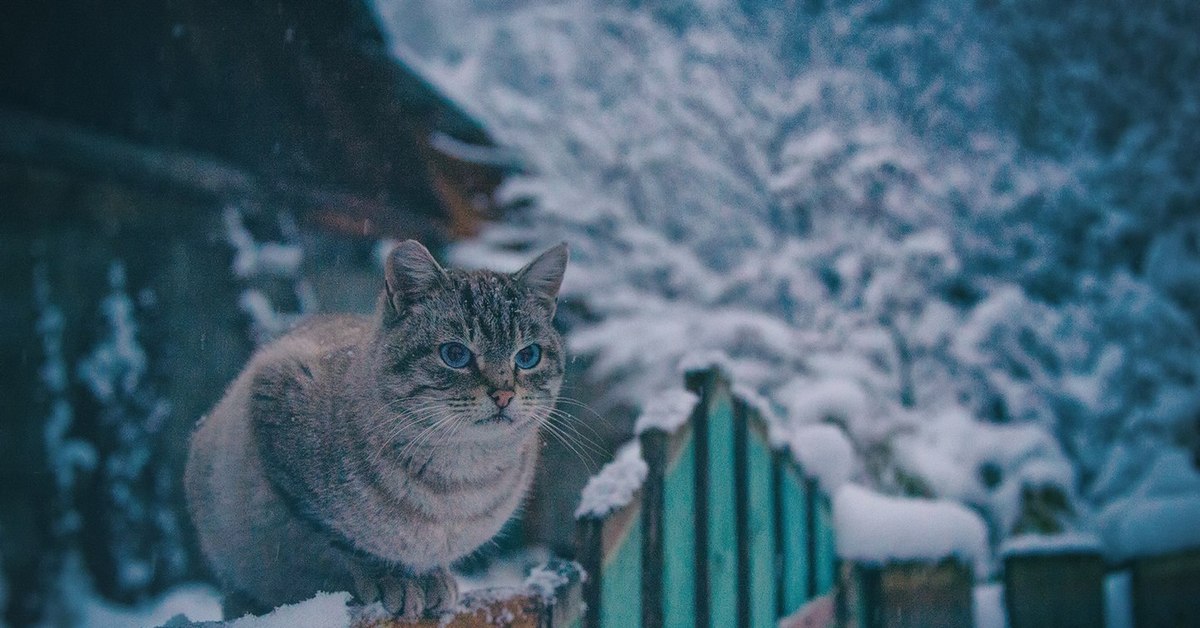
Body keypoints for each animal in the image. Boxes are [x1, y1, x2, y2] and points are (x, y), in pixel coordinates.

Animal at [182, 241, 566, 619]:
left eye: (528, 356)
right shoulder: (278, 421)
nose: (504, 395)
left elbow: (425, 558)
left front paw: (432, 579)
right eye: (455, 354)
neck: (457, 478)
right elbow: (349, 543)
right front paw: (391, 580)